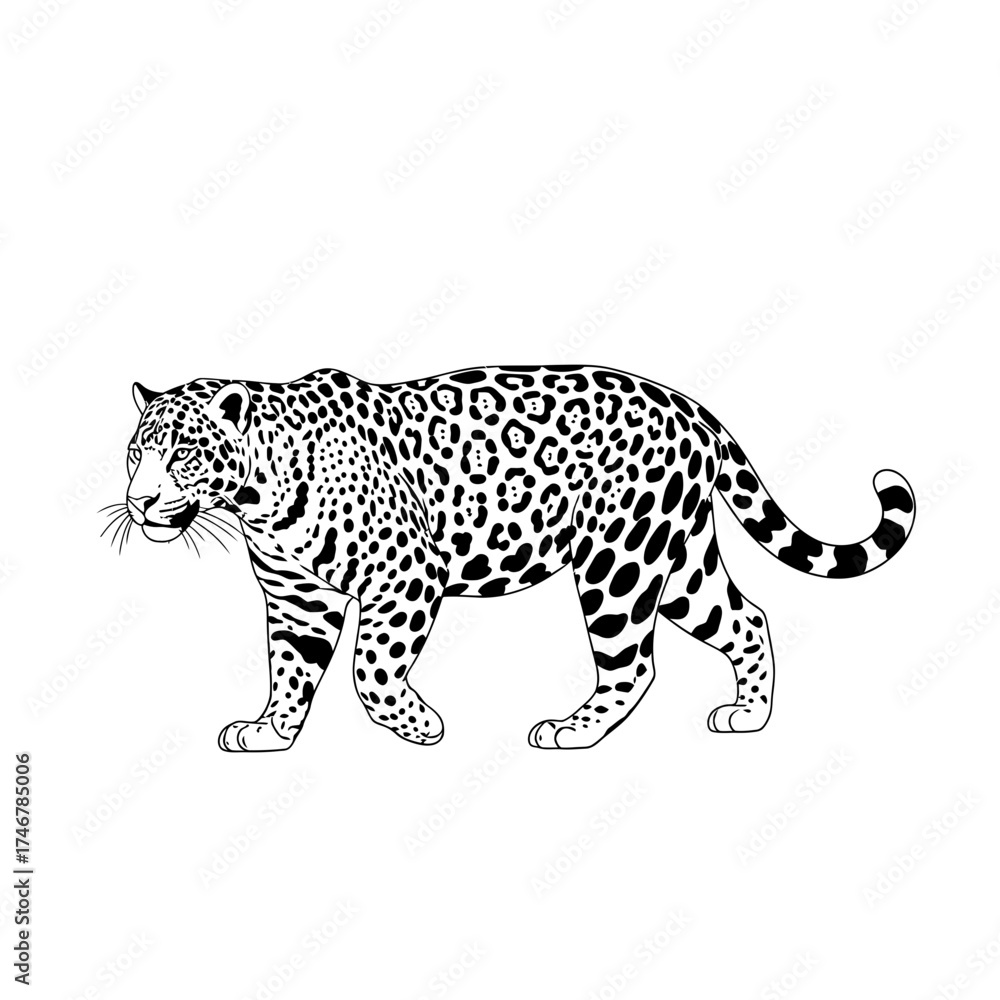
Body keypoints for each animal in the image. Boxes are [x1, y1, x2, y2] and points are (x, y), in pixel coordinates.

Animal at [111, 365, 915, 751]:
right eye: (134, 454)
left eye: (182, 453)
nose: (139, 503)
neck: (259, 496)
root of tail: (693, 409)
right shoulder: (298, 599)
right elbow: (291, 670)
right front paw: (270, 732)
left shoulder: (407, 577)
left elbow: (371, 671)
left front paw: (419, 724)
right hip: (679, 558)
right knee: (746, 618)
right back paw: (748, 716)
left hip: (619, 561)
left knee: (634, 663)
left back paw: (572, 731)